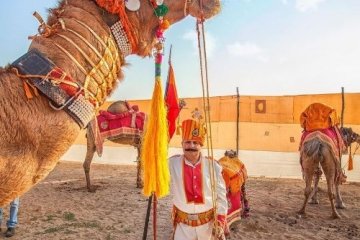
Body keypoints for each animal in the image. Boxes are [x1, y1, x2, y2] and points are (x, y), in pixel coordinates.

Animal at [0, 0, 221, 206]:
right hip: (93, 140)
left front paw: (139, 183)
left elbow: (139, 162)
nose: (215, 4)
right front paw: (140, 184)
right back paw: (90, 187)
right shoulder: (142, 140)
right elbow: (141, 162)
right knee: (86, 162)